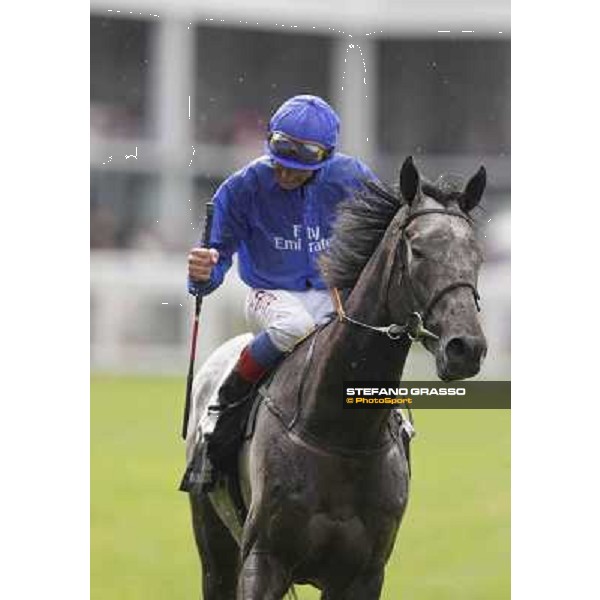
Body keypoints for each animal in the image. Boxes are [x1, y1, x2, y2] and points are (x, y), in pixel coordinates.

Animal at [183, 157, 488, 596]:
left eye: (476, 255)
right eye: (417, 250)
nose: (466, 347)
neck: (342, 433)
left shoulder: (363, 574)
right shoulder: (263, 561)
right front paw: (202, 267)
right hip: (214, 550)